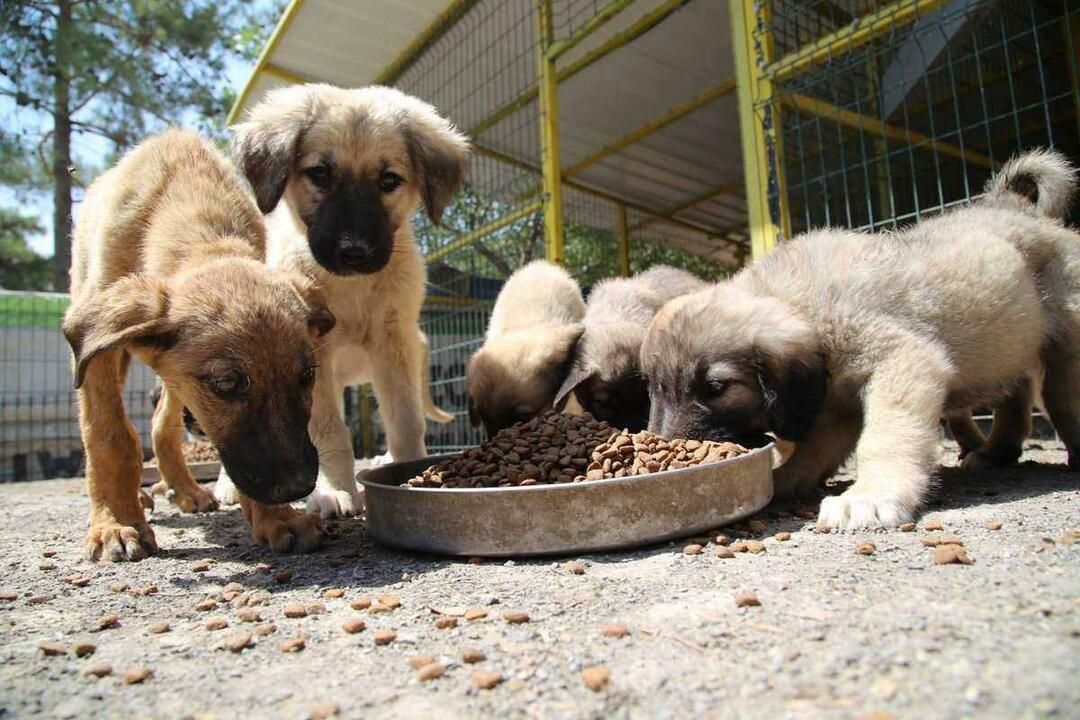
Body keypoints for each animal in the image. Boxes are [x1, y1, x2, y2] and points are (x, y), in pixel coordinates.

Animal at [64, 129, 332, 561]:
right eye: (226, 384)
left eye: (307, 375)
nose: (298, 486)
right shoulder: (98, 351)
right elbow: (109, 436)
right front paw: (116, 523)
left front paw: (278, 519)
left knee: (162, 424)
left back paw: (186, 489)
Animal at [230, 84, 466, 518]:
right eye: (320, 174)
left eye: (388, 180)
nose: (354, 251)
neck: (352, 290)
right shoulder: (313, 355)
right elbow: (328, 428)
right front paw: (335, 490)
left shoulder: (393, 343)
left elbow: (406, 421)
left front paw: (411, 472)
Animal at [639, 148, 1080, 528]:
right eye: (654, 389)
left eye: (716, 388)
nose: (667, 444)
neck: (805, 302)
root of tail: (1013, 206)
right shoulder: (835, 407)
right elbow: (812, 452)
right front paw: (781, 482)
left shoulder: (902, 361)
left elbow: (885, 435)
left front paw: (871, 494)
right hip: (1010, 342)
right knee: (1016, 392)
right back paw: (997, 451)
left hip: (1064, 341)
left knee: (1059, 396)